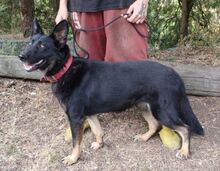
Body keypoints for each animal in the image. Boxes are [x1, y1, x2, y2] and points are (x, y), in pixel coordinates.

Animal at [18, 18, 204, 164]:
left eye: (42, 45)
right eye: (29, 42)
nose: (21, 56)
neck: (66, 69)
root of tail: (174, 73)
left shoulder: (76, 118)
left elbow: (76, 142)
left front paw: (73, 158)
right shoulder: (90, 114)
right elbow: (97, 130)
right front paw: (99, 144)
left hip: (162, 111)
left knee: (185, 128)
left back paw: (184, 152)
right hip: (143, 106)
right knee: (155, 124)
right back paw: (144, 137)